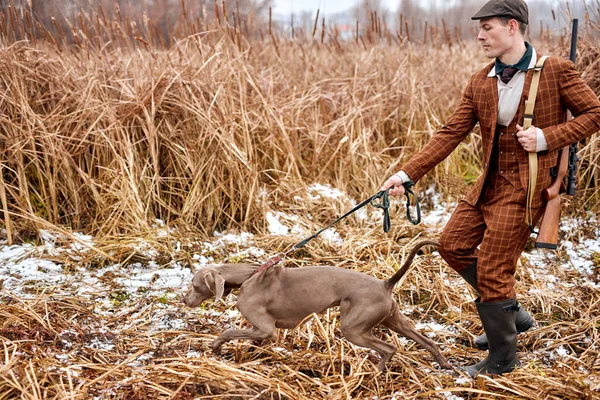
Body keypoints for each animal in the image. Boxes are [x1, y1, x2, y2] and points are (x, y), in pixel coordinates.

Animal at [183, 239, 450, 370]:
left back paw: (375, 372)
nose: (184, 300)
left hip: (353, 329)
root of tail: (385, 283)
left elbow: (229, 331)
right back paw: (446, 364)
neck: (249, 276)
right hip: (393, 320)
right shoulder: (263, 331)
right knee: (427, 342)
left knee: (389, 348)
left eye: (194, 285)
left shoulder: (267, 329)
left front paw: (216, 346)